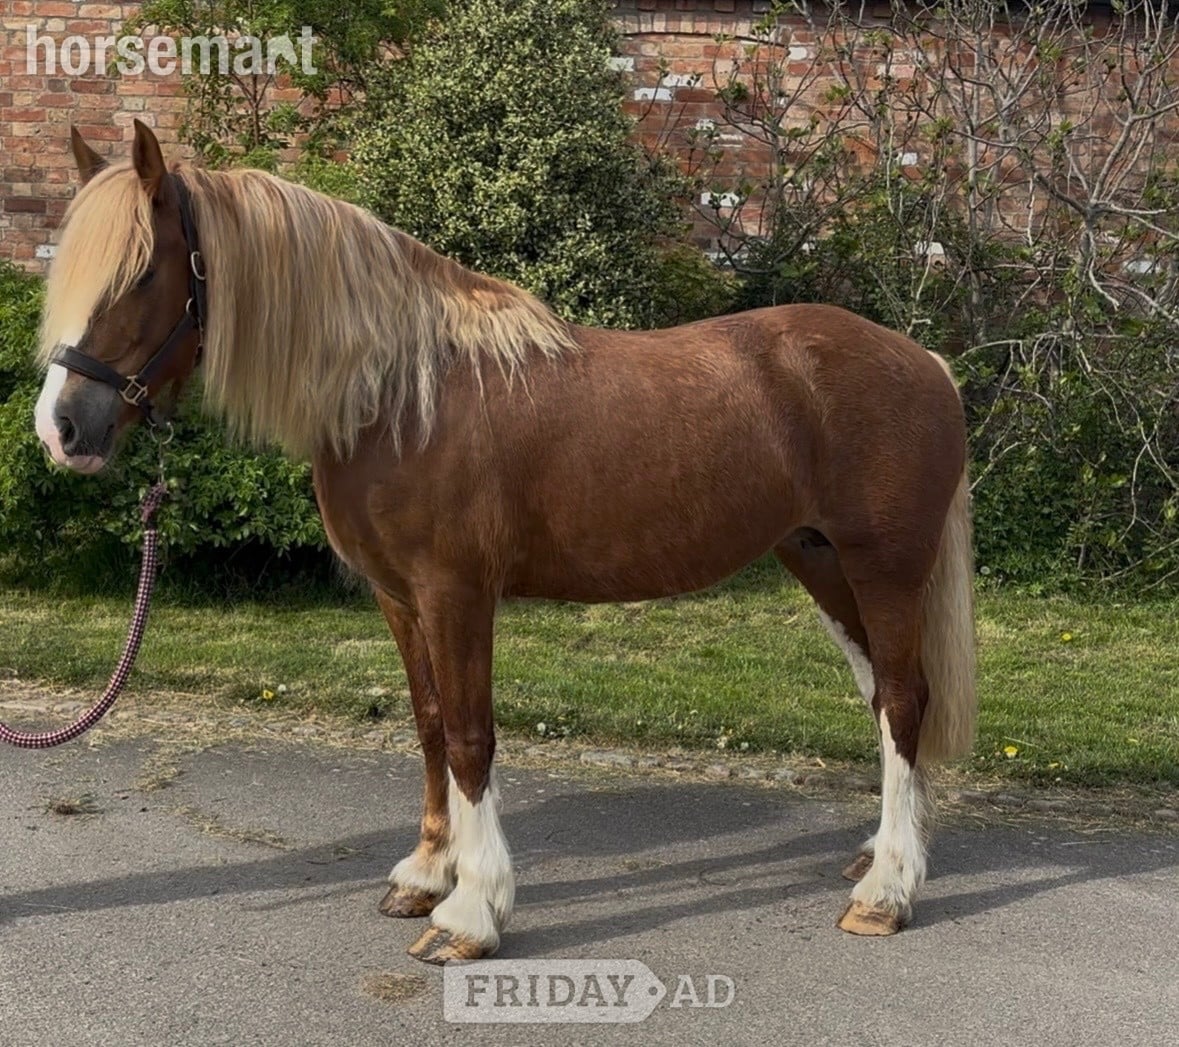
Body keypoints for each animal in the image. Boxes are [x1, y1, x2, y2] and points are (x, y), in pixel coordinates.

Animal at [34, 121, 976, 965]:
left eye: (139, 272)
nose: (62, 428)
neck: (400, 393)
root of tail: (924, 361)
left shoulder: (456, 592)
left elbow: (469, 736)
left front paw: (470, 911)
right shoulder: (398, 597)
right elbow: (427, 724)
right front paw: (424, 873)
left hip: (883, 568)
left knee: (902, 699)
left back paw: (887, 892)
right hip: (817, 560)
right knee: (880, 692)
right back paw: (878, 852)